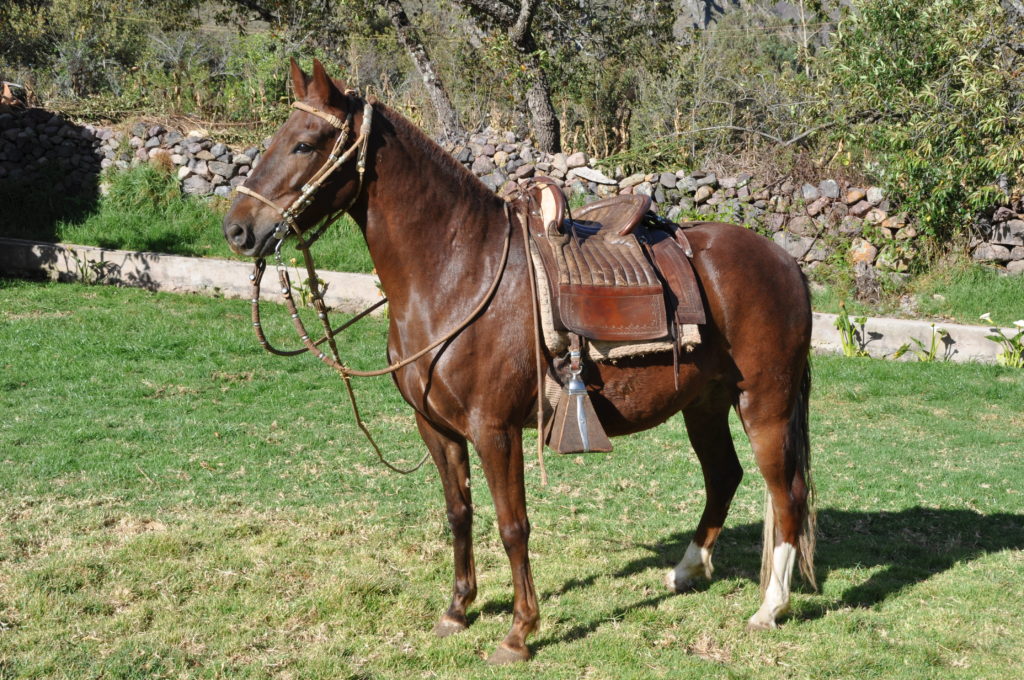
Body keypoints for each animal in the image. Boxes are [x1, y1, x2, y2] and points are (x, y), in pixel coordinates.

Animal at [224, 59, 815, 663]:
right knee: (724, 476)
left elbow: (513, 525)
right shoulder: (436, 427)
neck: (460, 274)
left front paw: (519, 631)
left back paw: (771, 607)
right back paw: (686, 571)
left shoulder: (495, 429)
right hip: (705, 404)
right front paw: (458, 610)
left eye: (304, 144)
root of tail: (785, 262)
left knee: (784, 492)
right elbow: (458, 513)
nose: (238, 230)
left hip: (764, 404)